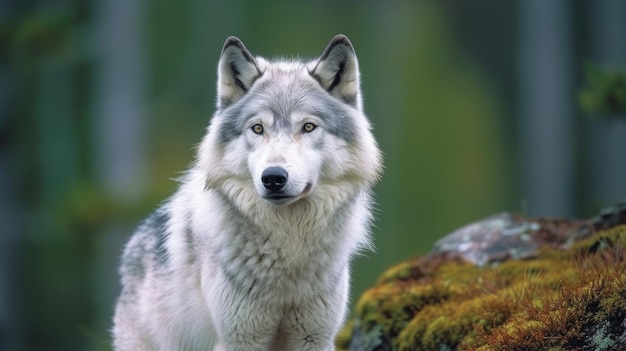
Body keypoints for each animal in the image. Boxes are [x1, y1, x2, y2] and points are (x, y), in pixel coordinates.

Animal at [113, 33, 380, 351]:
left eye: (308, 126)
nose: (274, 178)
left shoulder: (314, 338)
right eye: (257, 128)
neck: (289, 245)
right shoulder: (239, 339)